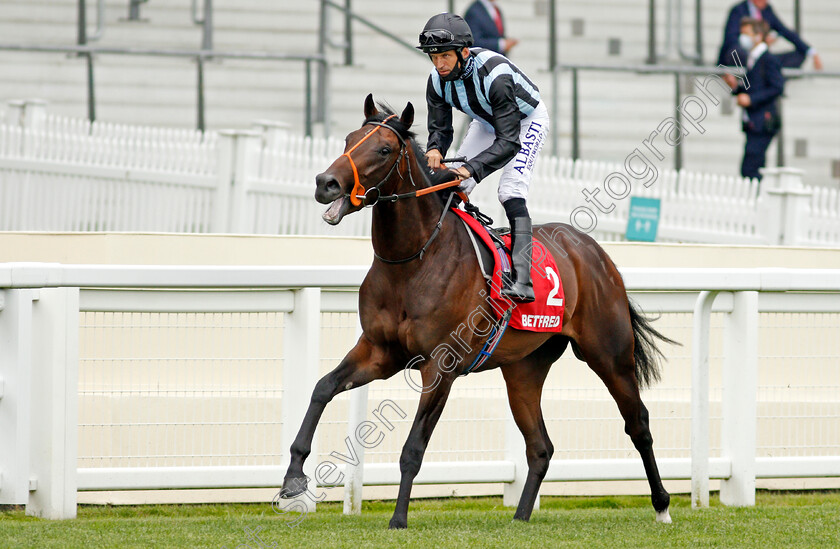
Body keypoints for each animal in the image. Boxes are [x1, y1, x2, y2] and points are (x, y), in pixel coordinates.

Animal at [282, 93, 676, 528]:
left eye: (384, 149)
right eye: (349, 139)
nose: (326, 183)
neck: (412, 261)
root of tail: (596, 253)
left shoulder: (440, 367)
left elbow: (413, 448)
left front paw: (398, 519)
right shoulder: (379, 352)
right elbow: (322, 388)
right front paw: (293, 479)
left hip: (609, 354)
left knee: (638, 424)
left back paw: (662, 506)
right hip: (524, 368)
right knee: (540, 446)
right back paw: (520, 517)